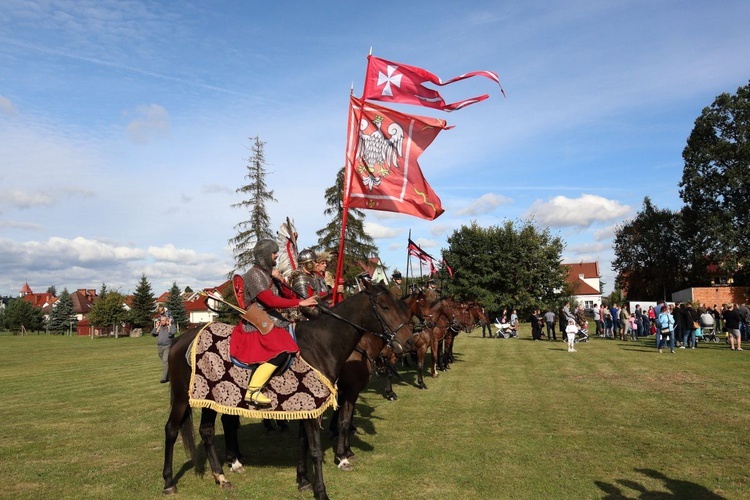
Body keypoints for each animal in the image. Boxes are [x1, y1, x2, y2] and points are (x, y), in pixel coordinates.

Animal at [161, 282, 414, 500]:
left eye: (403, 309)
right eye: (384, 306)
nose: (408, 343)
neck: (320, 345)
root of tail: (181, 340)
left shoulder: (308, 407)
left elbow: (304, 442)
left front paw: (303, 480)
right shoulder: (318, 405)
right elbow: (316, 448)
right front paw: (322, 489)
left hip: (210, 398)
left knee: (207, 432)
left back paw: (221, 476)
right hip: (184, 398)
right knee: (172, 430)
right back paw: (169, 482)